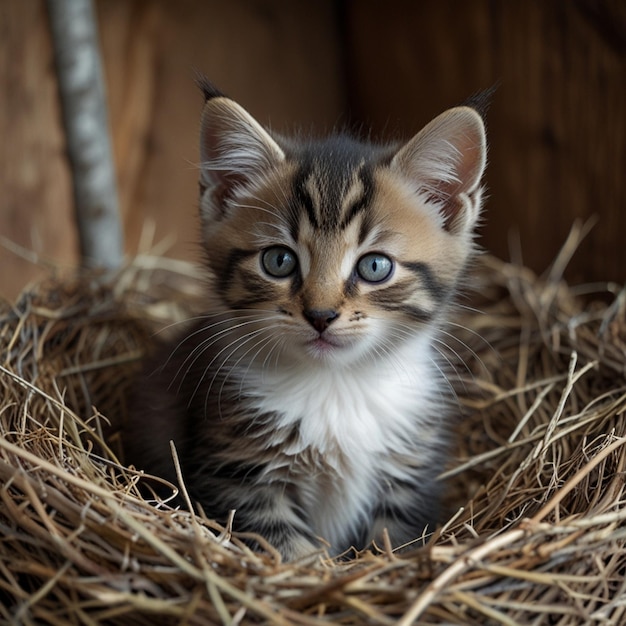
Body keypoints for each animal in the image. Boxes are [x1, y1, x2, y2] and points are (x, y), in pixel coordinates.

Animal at [125, 79, 488, 560]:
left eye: (375, 266)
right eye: (279, 261)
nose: (320, 314)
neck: (336, 385)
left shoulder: (409, 476)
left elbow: (393, 544)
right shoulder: (241, 476)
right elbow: (288, 551)